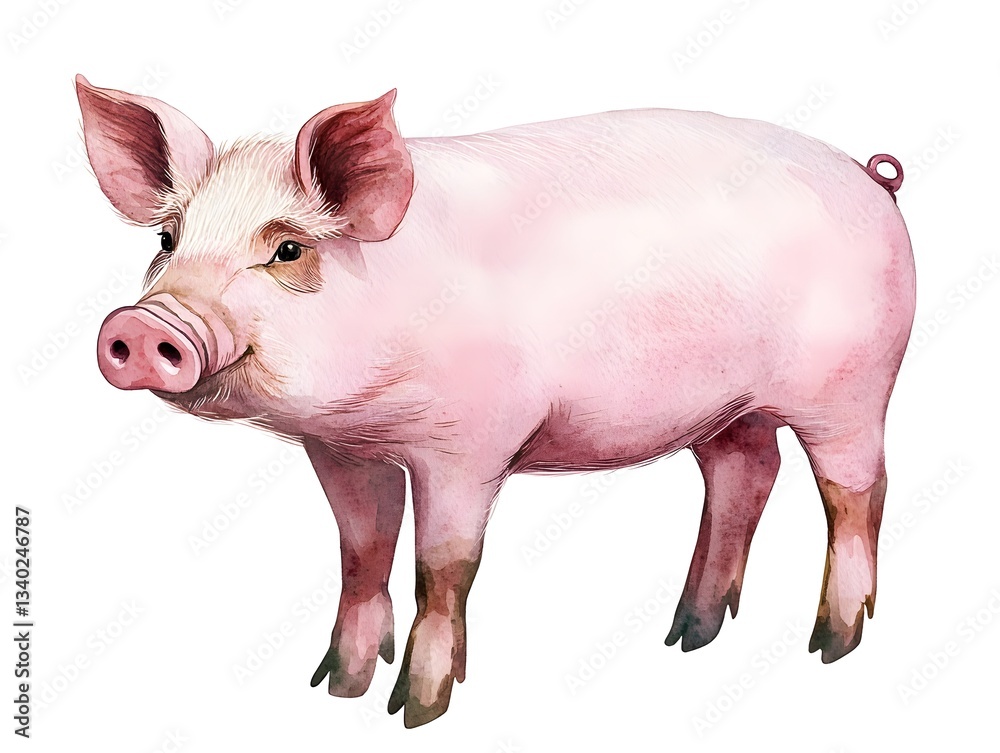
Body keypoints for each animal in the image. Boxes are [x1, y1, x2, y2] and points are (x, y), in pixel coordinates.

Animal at [76, 74, 915, 727]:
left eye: (287, 249)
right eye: (167, 240)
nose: (143, 326)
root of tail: (870, 176)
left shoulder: (468, 445)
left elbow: (442, 566)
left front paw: (416, 710)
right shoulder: (341, 449)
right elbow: (361, 551)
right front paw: (336, 689)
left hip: (853, 386)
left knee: (858, 493)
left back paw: (831, 644)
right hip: (728, 409)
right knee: (746, 474)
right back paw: (688, 633)